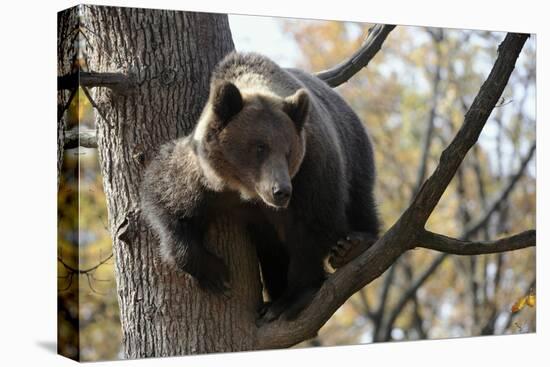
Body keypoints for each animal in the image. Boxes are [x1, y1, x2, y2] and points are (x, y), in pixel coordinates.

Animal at [140, 52, 382, 324]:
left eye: (288, 151)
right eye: (259, 147)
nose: (281, 191)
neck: (245, 190)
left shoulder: (312, 169)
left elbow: (313, 225)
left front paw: (290, 300)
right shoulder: (203, 176)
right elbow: (167, 199)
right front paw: (215, 274)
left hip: (353, 149)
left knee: (359, 198)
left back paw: (353, 245)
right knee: (271, 252)